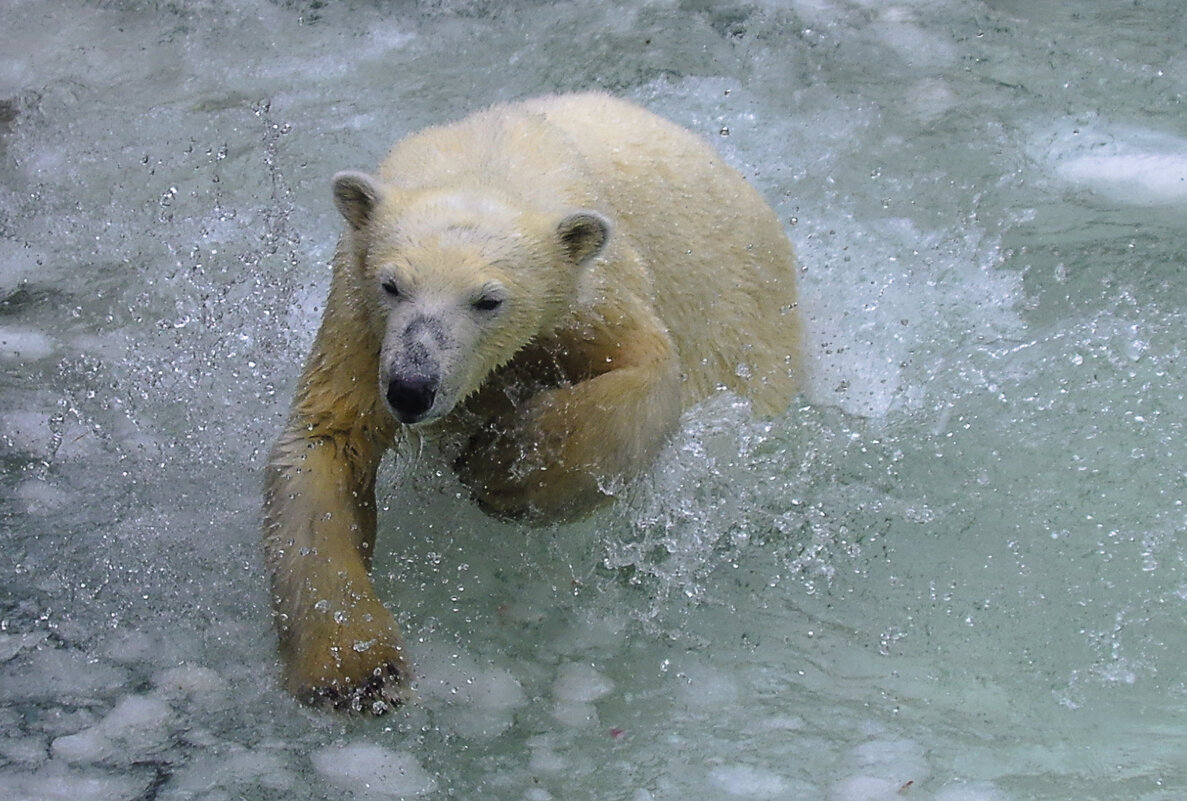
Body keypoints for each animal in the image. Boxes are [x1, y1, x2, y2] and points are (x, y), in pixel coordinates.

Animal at [264, 93, 802, 716]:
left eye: (488, 300)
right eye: (392, 284)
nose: (410, 387)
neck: (491, 158)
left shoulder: (593, 292)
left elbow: (649, 373)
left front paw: (499, 470)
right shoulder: (361, 319)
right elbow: (327, 442)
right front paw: (354, 673)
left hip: (755, 333)